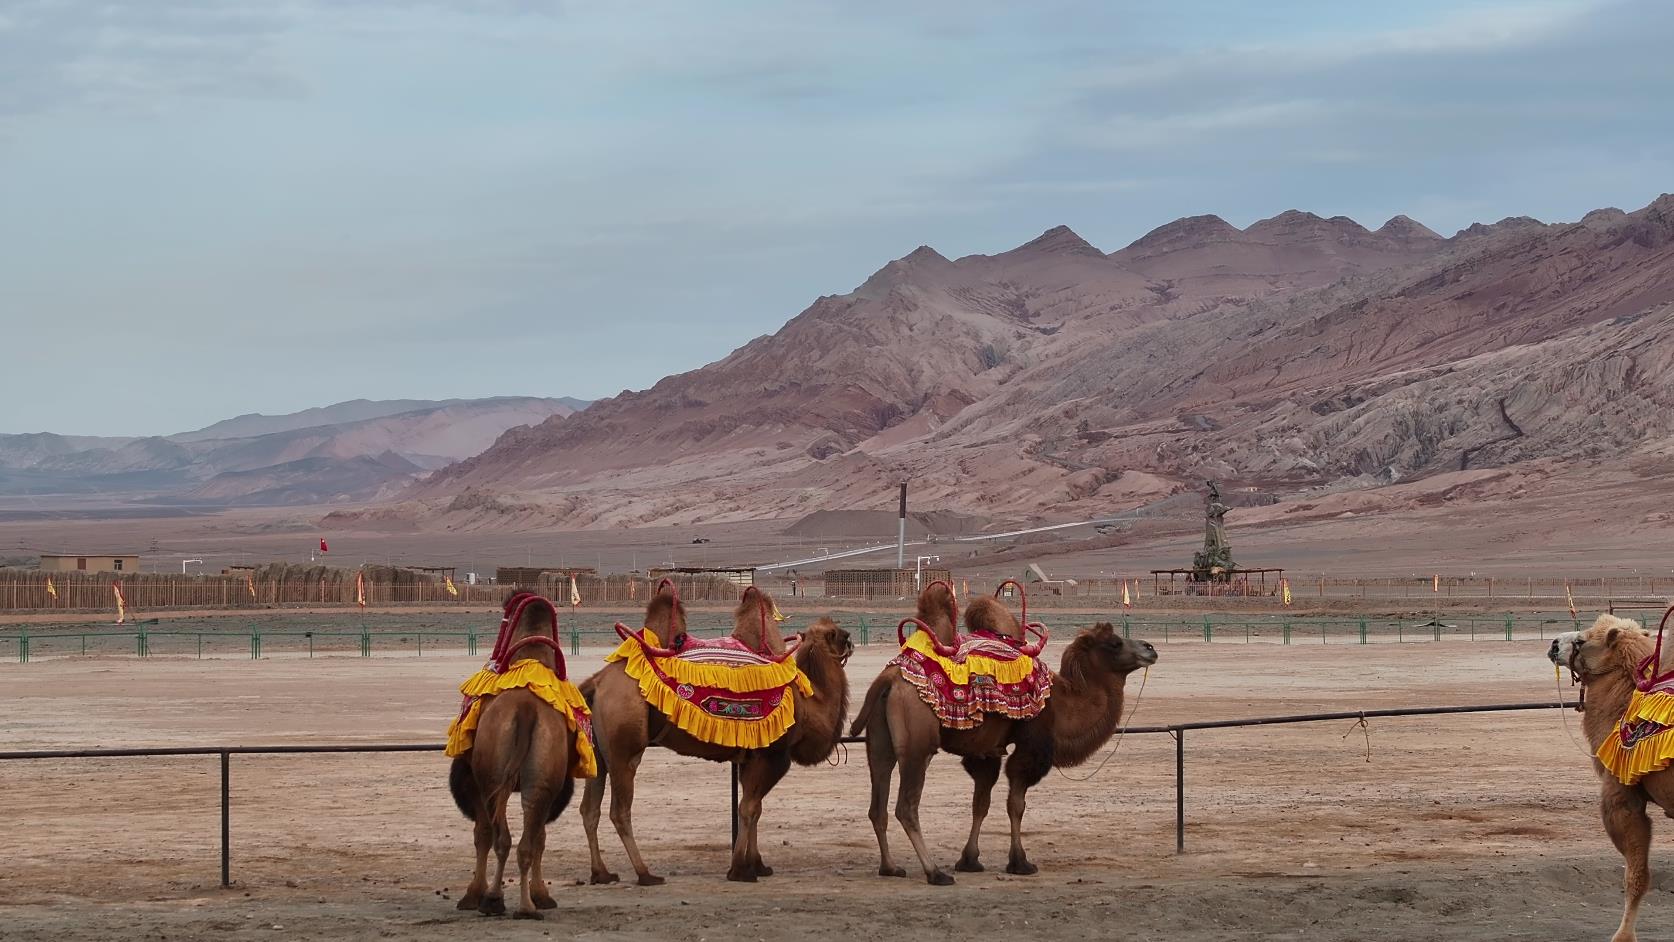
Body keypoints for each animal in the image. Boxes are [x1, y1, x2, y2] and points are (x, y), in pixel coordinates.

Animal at [448, 595, 592, 923]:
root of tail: (526, 710)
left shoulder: (474, 782)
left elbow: (482, 834)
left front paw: (472, 894)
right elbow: (533, 837)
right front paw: (539, 896)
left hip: (496, 781)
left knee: (504, 837)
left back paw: (498, 900)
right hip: (539, 784)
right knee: (525, 840)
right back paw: (525, 905)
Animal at [585, 592, 850, 890]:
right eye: (835, 634)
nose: (850, 638)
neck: (807, 705)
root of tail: (596, 683)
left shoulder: (751, 756)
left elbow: (754, 808)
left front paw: (758, 864)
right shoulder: (773, 755)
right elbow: (748, 808)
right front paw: (740, 870)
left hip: (599, 751)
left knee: (589, 809)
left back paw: (601, 873)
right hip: (624, 750)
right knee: (619, 811)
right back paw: (645, 874)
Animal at [857, 595, 1158, 883]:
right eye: (1115, 643)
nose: (1150, 648)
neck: (1061, 702)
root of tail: (888, 680)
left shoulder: (985, 751)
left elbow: (981, 803)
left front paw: (969, 860)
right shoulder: (1030, 746)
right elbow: (1016, 804)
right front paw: (1020, 862)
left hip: (879, 742)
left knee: (877, 804)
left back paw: (890, 867)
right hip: (918, 744)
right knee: (906, 807)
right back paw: (935, 873)